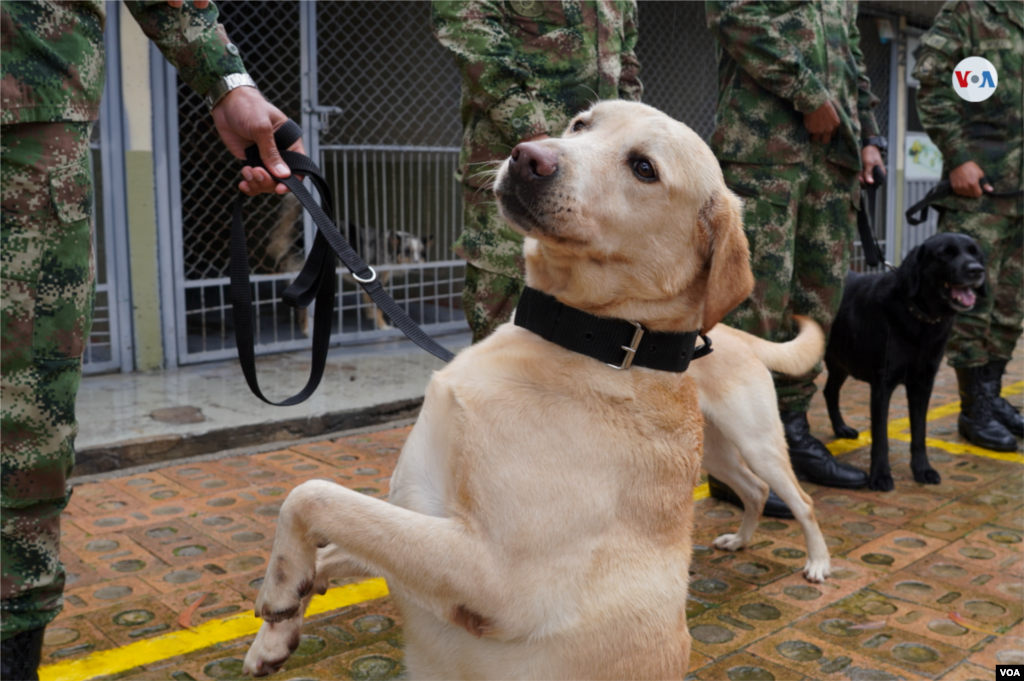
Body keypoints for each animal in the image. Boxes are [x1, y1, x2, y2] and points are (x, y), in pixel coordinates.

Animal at [239, 102, 753, 679]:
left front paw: (279, 588)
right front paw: (276, 631)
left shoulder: (499, 578)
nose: (527, 157)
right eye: (581, 124)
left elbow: (312, 495)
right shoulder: (421, 511)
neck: (596, 340)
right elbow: (334, 541)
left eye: (644, 168)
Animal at [823, 232, 983, 489]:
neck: (919, 318)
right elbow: (880, 436)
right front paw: (880, 475)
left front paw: (923, 469)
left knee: (829, 391)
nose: (977, 270)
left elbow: (919, 432)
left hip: (841, 363)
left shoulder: (923, 384)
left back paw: (840, 428)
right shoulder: (882, 386)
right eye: (945, 254)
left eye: (975, 253)